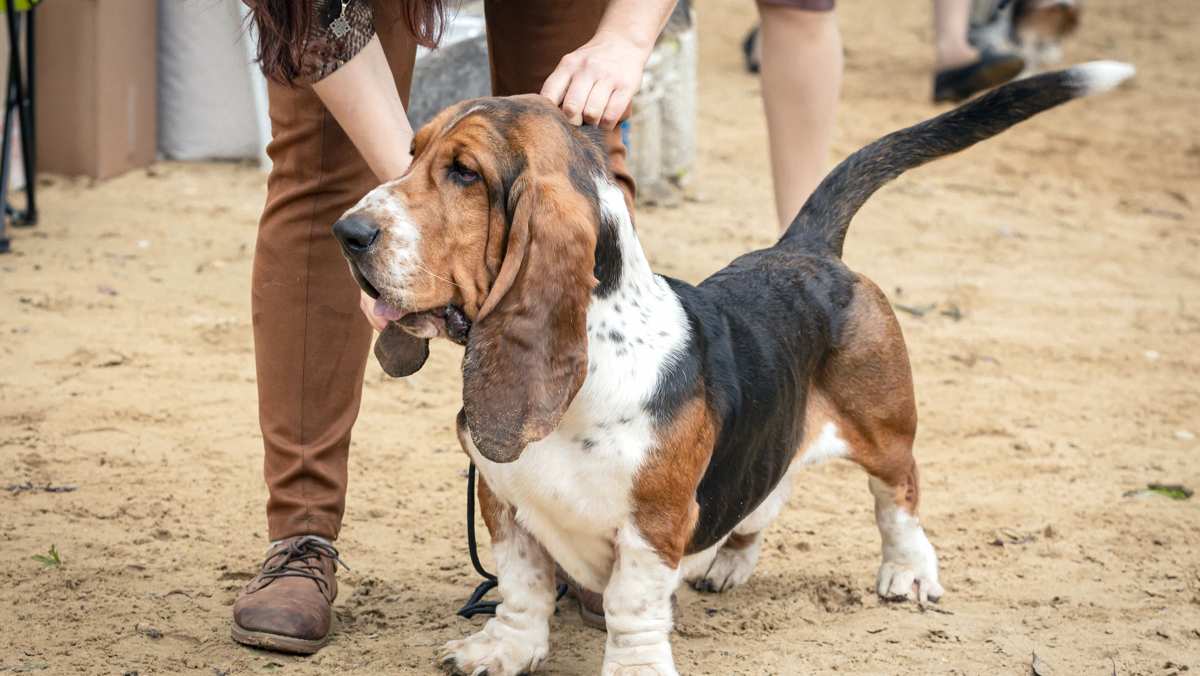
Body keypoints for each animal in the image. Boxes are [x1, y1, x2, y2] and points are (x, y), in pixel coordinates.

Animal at [336, 60, 1132, 672]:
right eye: (411, 153)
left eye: (464, 173)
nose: (348, 231)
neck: (586, 380)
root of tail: (805, 247)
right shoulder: (506, 504)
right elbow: (522, 588)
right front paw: (502, 652)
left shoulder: (652, 525)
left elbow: (630, 607)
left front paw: (634, 667)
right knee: (770, 490)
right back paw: (728, 562)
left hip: (884, 427)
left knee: (899, 493)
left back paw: (907, 571)